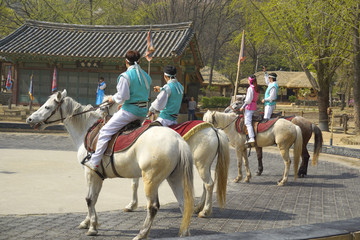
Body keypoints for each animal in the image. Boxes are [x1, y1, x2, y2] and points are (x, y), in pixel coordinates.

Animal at [26, 90, 195, 240]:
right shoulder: (96, 176)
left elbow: (89, 199)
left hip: (151, 180)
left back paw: (141, 234)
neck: (86, 129)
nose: (29, 119)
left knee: (152, 207)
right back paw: (184, 232)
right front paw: (88, 222)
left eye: (47, 107)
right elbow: (94, 198)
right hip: (174, 178)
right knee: (183, 203)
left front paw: (93, 227)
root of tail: (177, 140)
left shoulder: (90, 173)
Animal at [102, 97, 231, 218]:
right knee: (205, 185)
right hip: (205, 166)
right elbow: (135, 184)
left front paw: (131, 205)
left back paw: (205, 211)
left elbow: (134, 184)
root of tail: (213, 129)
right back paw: (198, 207)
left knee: (209, 184)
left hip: (201, 165)